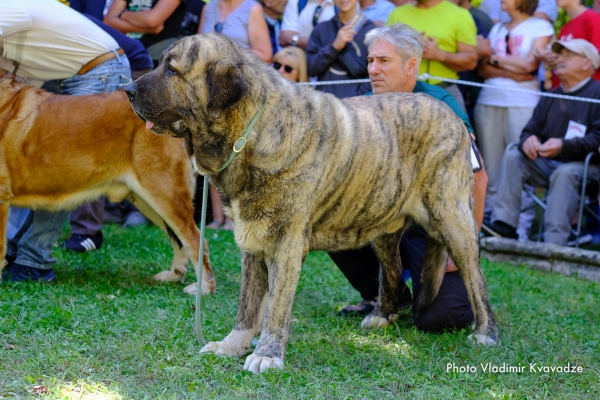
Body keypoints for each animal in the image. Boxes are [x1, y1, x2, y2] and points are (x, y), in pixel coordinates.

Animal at [0, 79, 216, 296]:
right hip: (148, 200)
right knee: (179, 240)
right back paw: (174, 275)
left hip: (165, 194)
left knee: (196, 240)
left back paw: (204, 287)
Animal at [126, 33, 502, 372]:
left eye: (172, 70)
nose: (128, 89)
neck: (250, 132)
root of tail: (450, 113)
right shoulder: (252, 242)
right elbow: (248, 305)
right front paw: (232, 346)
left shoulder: (287, 244)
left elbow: (275, 306)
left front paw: (266, 355)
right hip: (382, 225)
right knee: (392, 268)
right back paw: (381, 316)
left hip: (451, 219)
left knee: (477, 279)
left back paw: (486, 333)